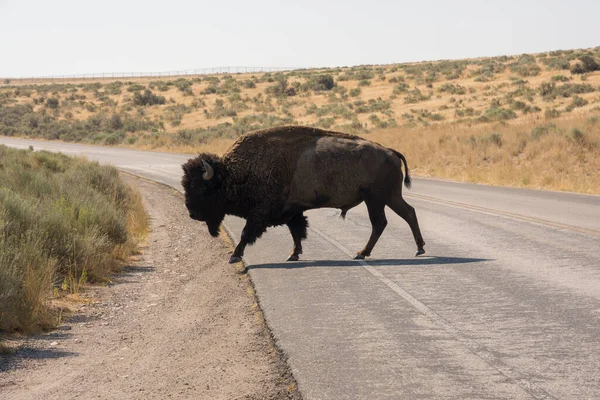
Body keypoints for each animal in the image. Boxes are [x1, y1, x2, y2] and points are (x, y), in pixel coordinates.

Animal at [180, 126, 424, 262]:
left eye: (202, 188)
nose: (192, 214)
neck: (234, 173)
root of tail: (391, 152)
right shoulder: (292, 211)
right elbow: (296, 232)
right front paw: (293, 254)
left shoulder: (260, 213)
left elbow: (246, 233)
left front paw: (234, 255)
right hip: (388, 198)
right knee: (407, 213)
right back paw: (418, 249)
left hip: (376, 199)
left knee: (381, 222)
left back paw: (363, 253)